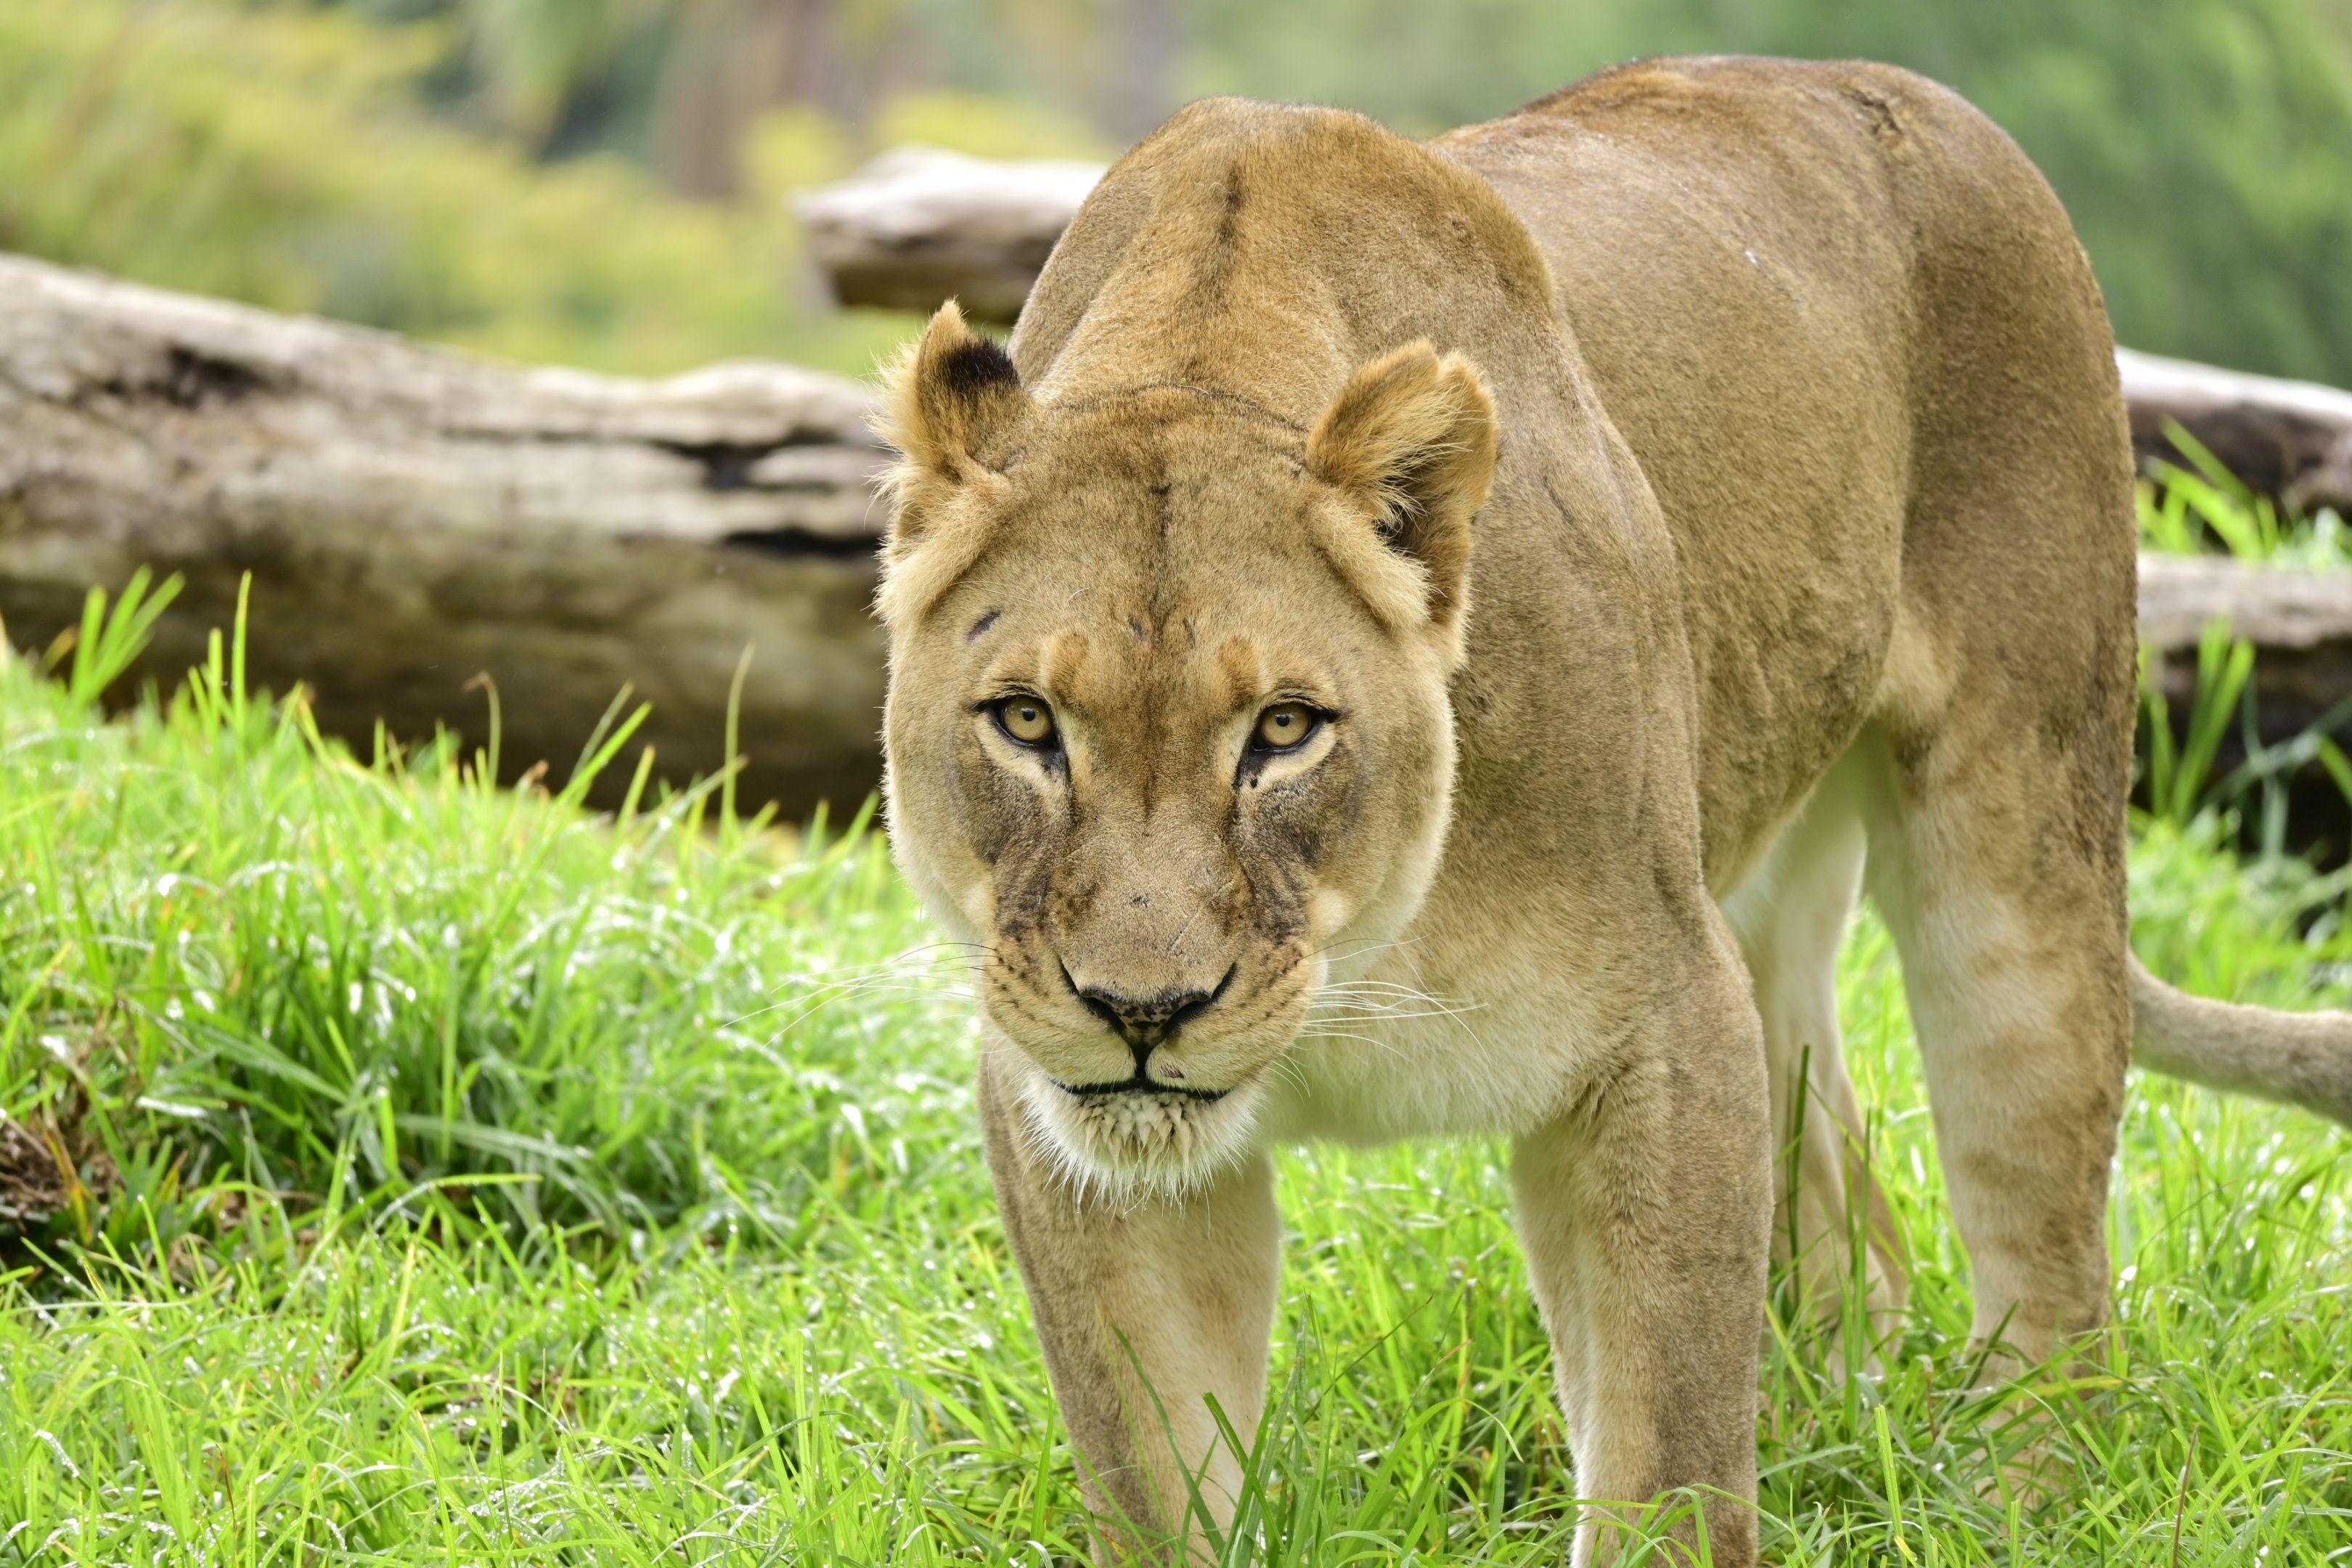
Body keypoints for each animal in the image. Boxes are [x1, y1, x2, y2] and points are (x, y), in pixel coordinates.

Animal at [873, 56, 2352, 1565]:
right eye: (1028, 723)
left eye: (1283, 730)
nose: (1143, 1012)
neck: (1359, 958)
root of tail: (1903, 84)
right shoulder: (1068, 1122)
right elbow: (1160, 1480)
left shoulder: (1665, 1025)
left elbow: (1667, 1470)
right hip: (1761, 880)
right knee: (1845, 1204)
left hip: (2017, 836)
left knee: (2050, 1260)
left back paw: (2016, 1503)